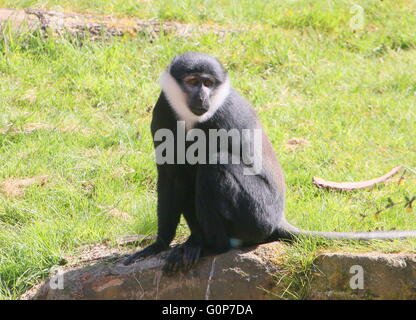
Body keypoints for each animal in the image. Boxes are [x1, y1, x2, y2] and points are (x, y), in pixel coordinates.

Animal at [124, 52, 416, 272]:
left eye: (208, 83)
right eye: (193, 81)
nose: (203, 97)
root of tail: (277, 219)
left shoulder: (223, 115)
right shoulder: (163, 110)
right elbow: (170, 175)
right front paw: (159, 244)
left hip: (256, 214)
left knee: (214, 165)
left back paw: (211, 246)